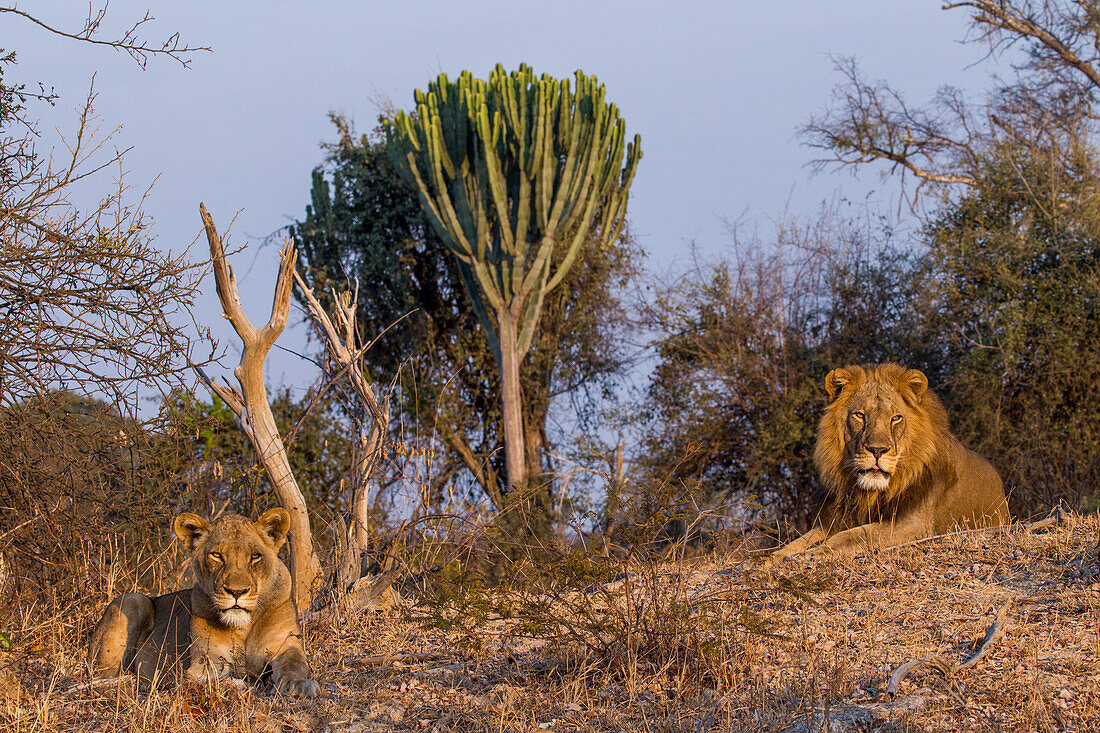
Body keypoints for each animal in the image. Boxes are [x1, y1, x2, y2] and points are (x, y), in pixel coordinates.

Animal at [86, 506, 319, 695]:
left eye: (255, 556)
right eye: (216, 555)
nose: (236, 591)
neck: (243, 626)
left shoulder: (287, 644)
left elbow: (294, 664)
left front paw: (300, 685)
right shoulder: (203, 661)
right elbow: (214, 679)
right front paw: (242, 683)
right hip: (132, 600)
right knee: (103, 675)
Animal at [770, 363, 1007, 559]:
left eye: (896, 418)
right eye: (859, 415)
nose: (877, 450)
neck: (870, 494)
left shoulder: (914, 525)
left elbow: (853, 536)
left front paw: (809, 555)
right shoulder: (836, 520)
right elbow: (796, 543)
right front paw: (773, 559)